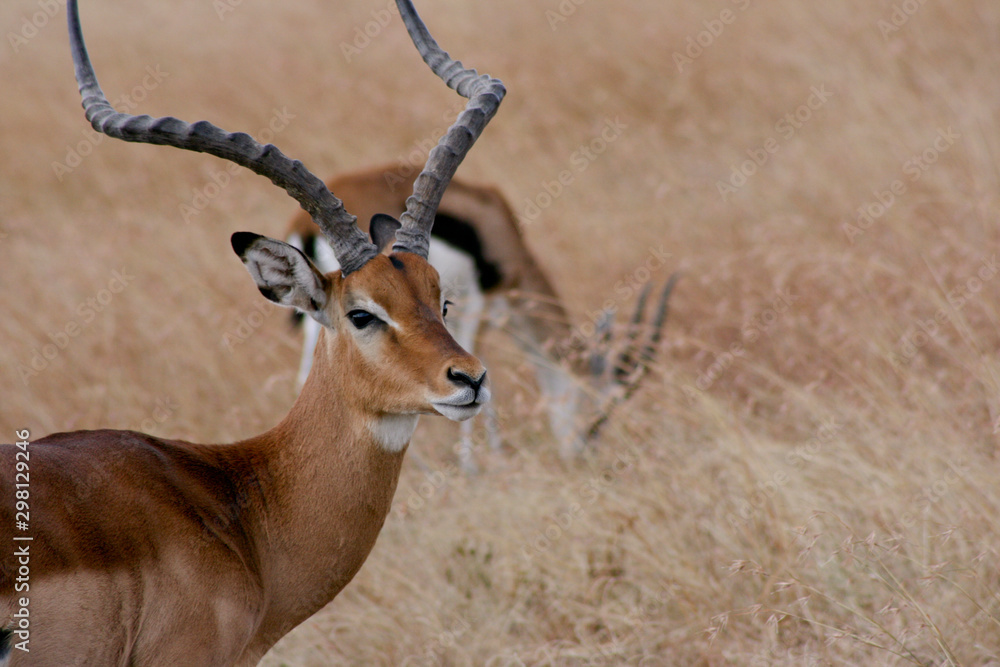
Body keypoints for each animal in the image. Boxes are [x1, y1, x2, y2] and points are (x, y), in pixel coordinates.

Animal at [286, 169, 677, 465]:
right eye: (599, 408)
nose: (580, 454)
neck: (497, 230)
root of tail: (303, 228)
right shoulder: (475, 306)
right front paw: (479, 465)